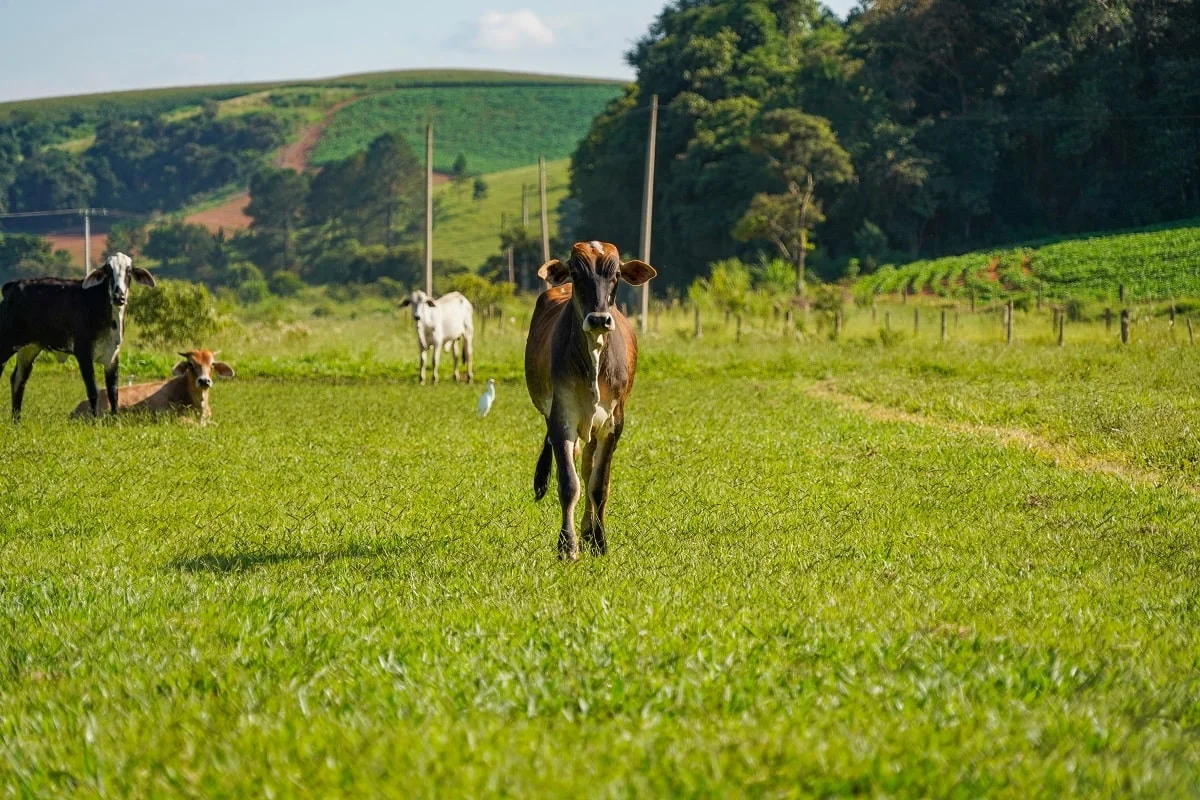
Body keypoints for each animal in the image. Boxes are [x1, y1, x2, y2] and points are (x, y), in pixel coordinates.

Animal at [525, 241, 657, 561]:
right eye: (576, 273)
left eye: (616, 274)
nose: (599, 319)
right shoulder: (561, 420)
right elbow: (569, 484)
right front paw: (567, 546)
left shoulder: (613, 423)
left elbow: (599, 484)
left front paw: (598, 541)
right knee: (576, 466)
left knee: (588, 468)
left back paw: (588, 530)